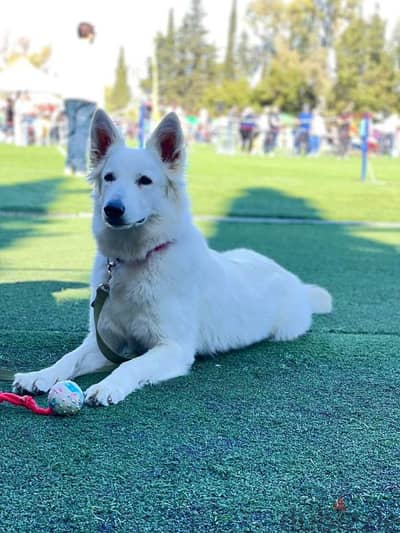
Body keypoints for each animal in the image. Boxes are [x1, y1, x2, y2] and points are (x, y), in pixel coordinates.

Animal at [11, 110, 332, 406]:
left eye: (144, 181)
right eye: (109, 177)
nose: (112, 209)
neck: (136, 260)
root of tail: (292, 279)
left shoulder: (172, 347)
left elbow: (129, 365)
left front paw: (108, 386)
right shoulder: (103, 340)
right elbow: (69, 358)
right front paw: (40, 375)